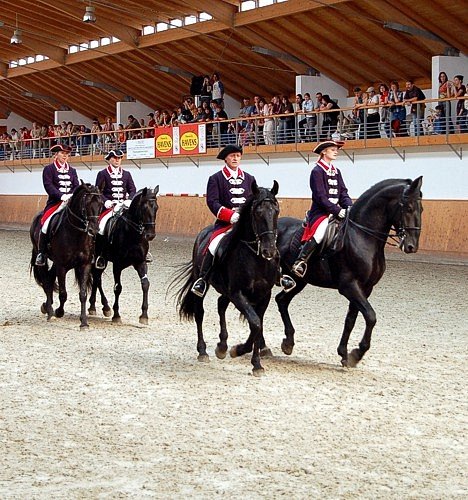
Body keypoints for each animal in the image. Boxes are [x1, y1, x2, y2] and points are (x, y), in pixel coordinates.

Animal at [30, 182, 103, 328]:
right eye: (86, 204)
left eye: (101, 204)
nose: (93, 230)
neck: (76, 233)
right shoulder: (62, 266)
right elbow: (63, 293)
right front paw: (59, 312)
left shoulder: (85, 265)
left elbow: (83, 294)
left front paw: (84, 322)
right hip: (43, 259)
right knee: (46, 281)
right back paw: (50, 311)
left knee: (50, 278)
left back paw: (47, 307)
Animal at [88, 186, 159, 325]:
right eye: (144, 208)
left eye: (156, 208)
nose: (150, 235)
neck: (132, 234)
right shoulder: (117, 265)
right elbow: (118, 288)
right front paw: (116, 315)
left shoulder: (140, 262)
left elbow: (145, 284)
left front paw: (144, 315)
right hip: (98, 258)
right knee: (97, 278)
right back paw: (104, 307)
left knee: (97, 278)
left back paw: (94, 307)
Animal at [175, 181, 280, 376]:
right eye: (257, 213)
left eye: (276, 210)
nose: (269, 250)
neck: (255, 257)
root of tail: (203, 233)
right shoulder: (238, 293)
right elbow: (255, 323)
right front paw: (245, 355)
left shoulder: (264, 295)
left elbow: (258, 325)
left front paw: (255, 362)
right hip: (204, 282)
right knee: (200, 312)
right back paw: (203, 351)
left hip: (227, 291)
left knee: (221, 304)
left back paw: (222, 346)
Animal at [274, 176, 423, 367]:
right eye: (409, 208)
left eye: (422, 209)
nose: (412, 246)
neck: (362, 236)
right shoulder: (349, 286)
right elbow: (370, 316)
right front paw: (357, 353)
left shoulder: (365, 288)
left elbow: (351, 319)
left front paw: (344, 354)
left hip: (298, 281)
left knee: (281, 301)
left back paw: (288, 343)